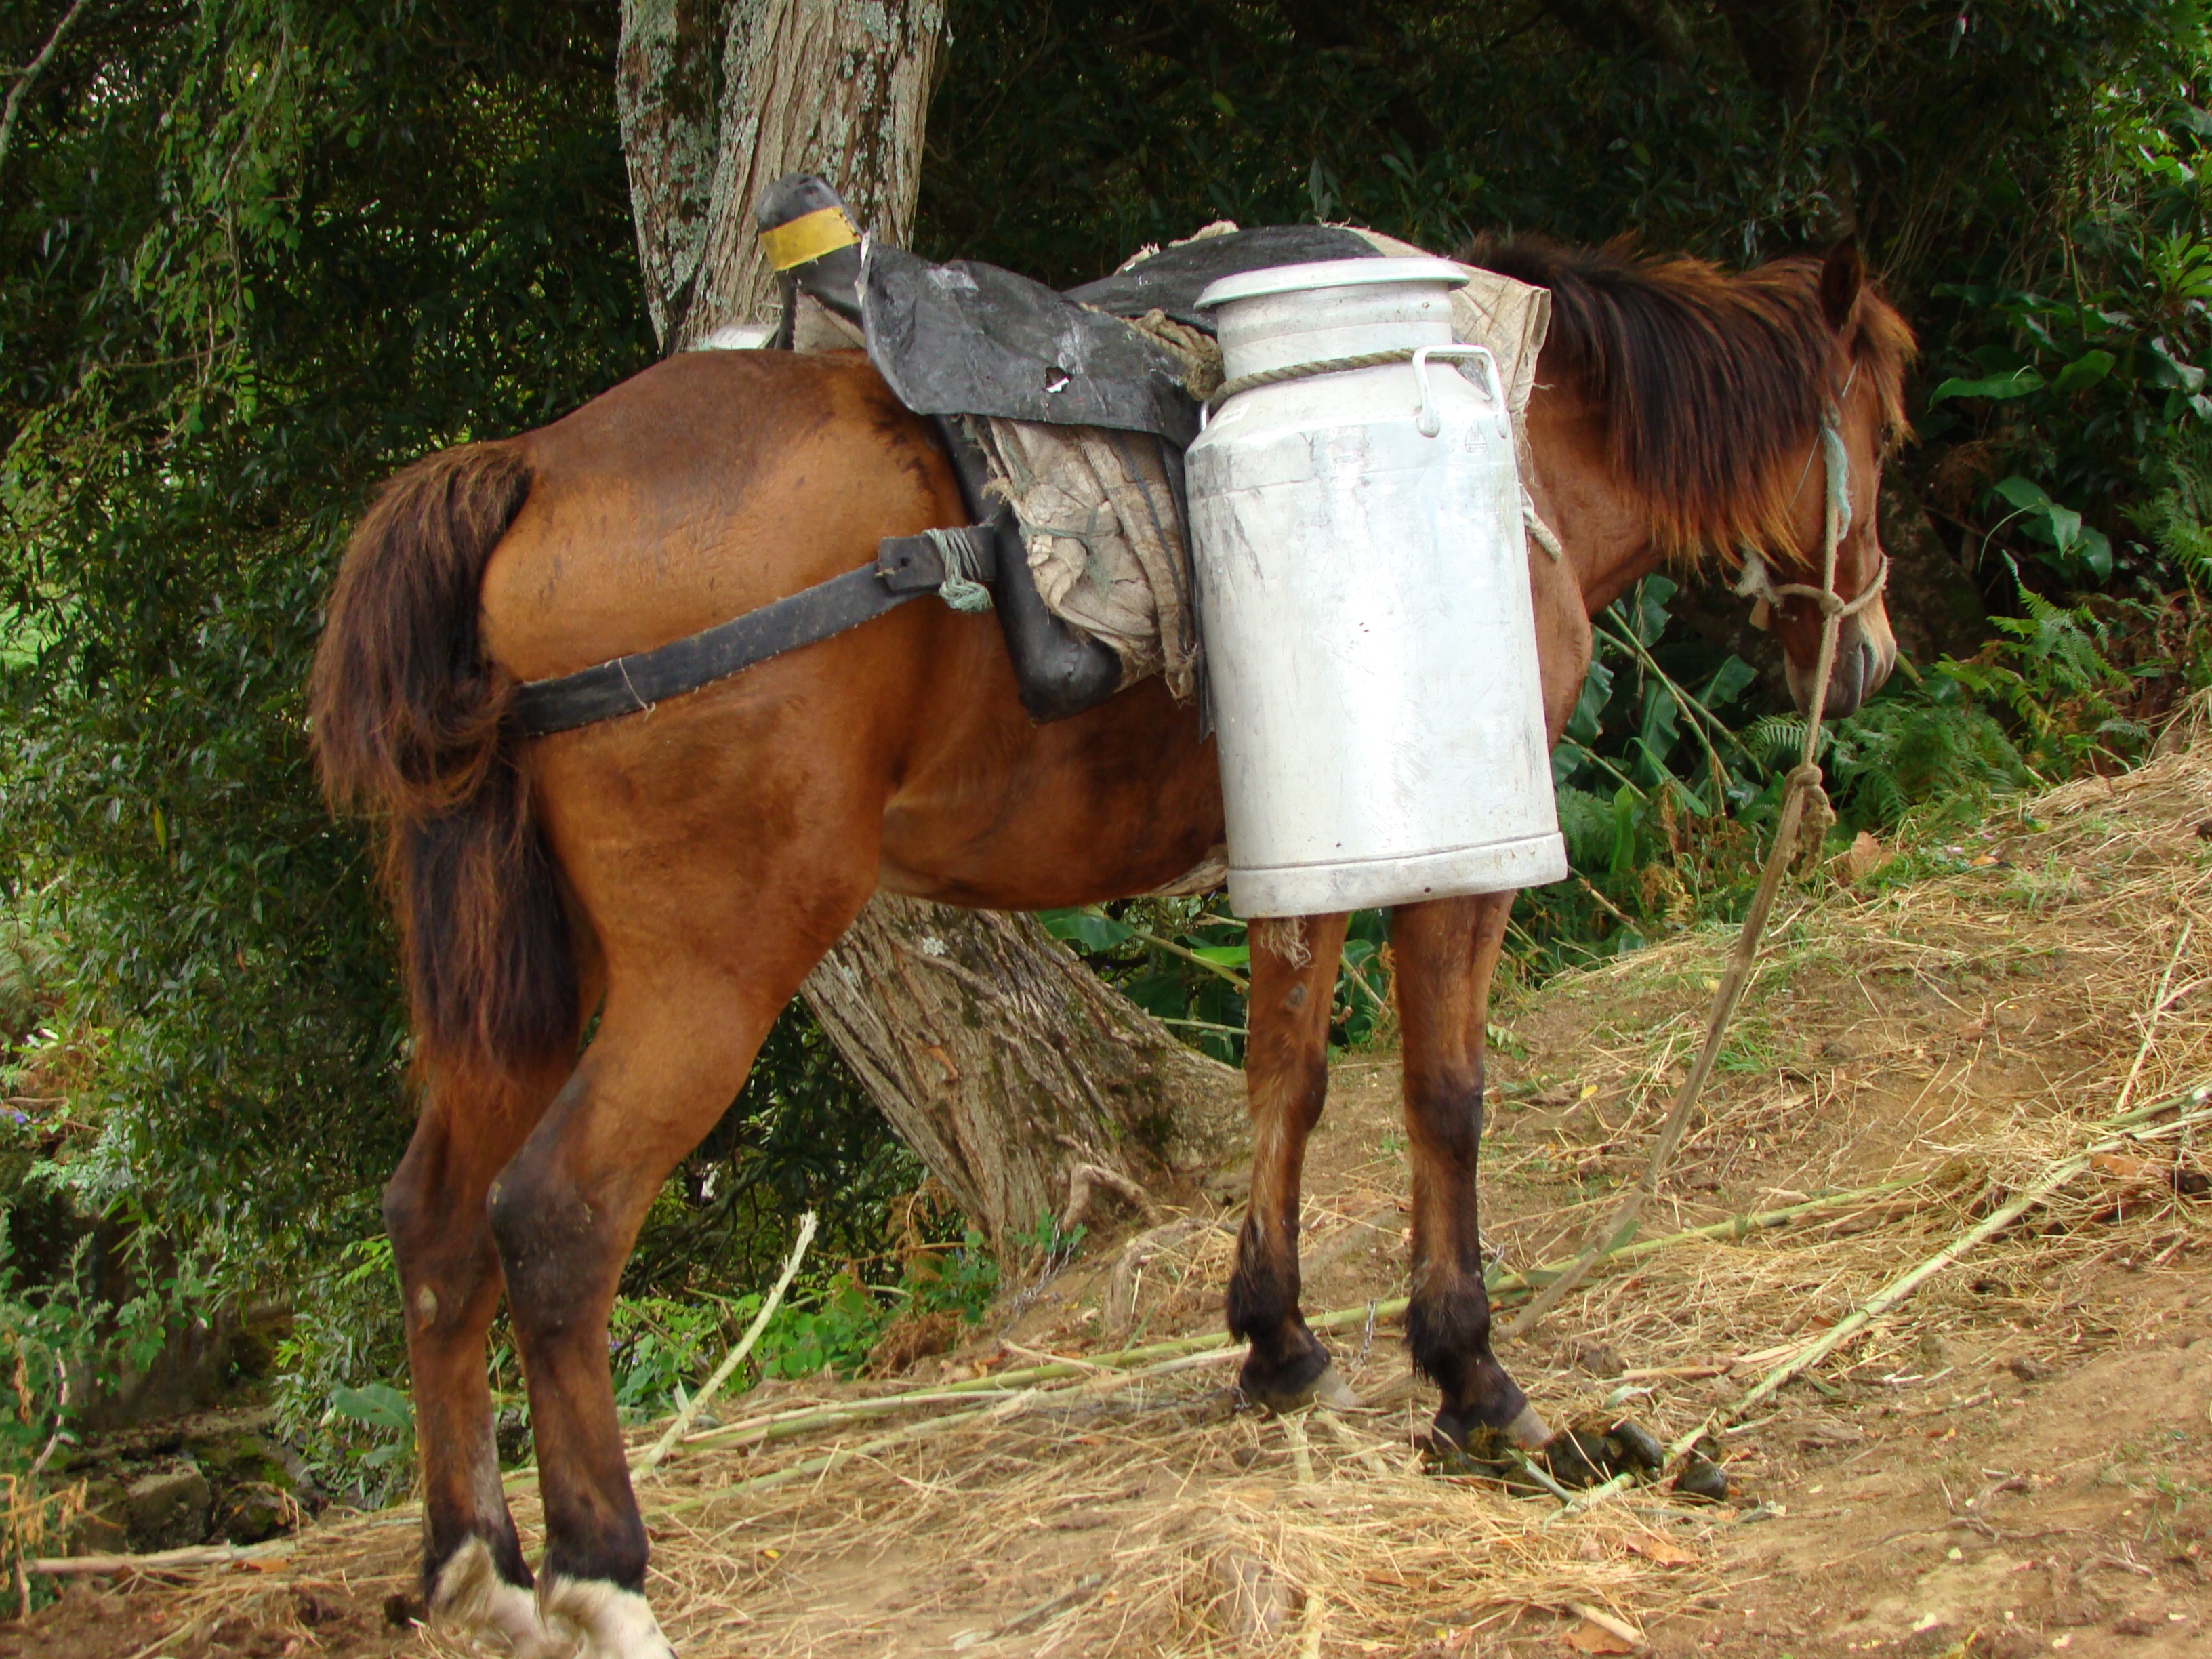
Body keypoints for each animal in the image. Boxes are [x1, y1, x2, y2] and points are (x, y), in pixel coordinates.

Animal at [309, 235, 1911, 1658]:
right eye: (1886, 424)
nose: (1871, 649)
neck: (1511, 432)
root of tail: (531, 468)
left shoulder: (1305, 849)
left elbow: (1284, 1086)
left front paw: (1277, 1341)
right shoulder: (1459, 854)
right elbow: (1441, 1100)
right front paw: (1471, 1377)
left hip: (520, 988)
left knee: (432, 1220)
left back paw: (474, 1564)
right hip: (709, 970)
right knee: (556, 1222)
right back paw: (603, 1574)